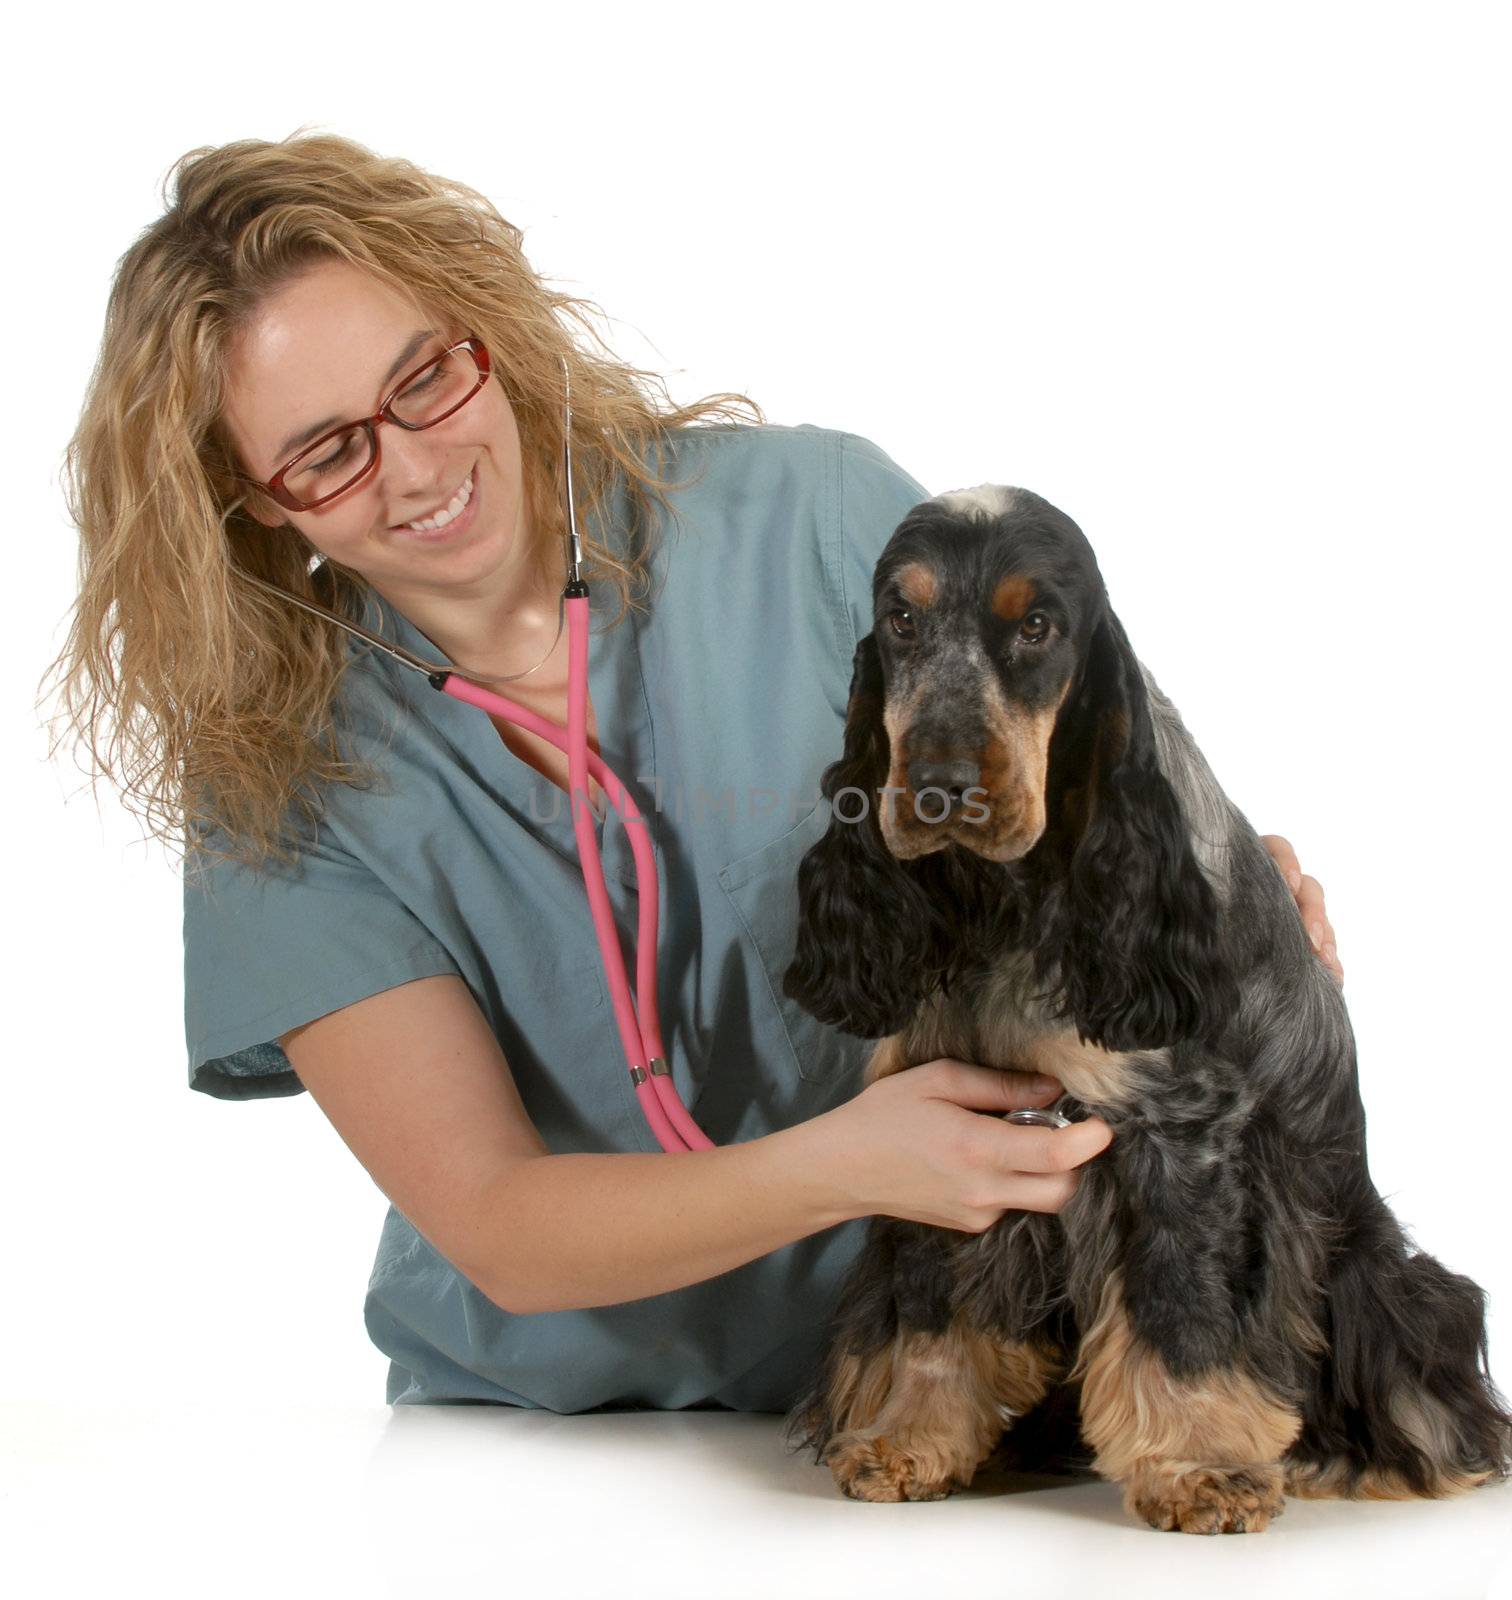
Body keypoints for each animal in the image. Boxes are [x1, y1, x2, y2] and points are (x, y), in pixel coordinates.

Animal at [784, 489, 1504, 1536]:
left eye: (1037, 626)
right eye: (903, 618)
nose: (940, 787)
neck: (1013, 904)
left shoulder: (1180, 1133)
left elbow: (1182, 1306)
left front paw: (1201, 1466)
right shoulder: (937, 1126)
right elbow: (930, 1304)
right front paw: (907, 1441)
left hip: (1365, 1262)